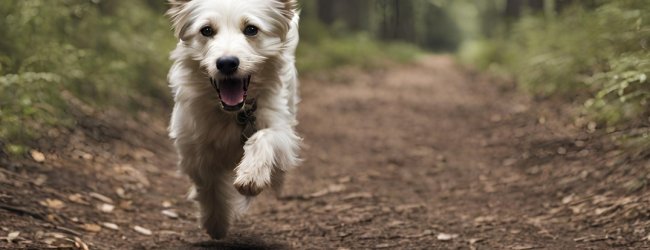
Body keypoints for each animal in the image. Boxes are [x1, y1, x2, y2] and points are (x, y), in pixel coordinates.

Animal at [166, 0, 300, 238]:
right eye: (206, 30)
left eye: (251, 29)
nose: (227, 63)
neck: (235, 114)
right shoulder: (193, 145)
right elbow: (208, 184)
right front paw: (216, 222)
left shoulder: (282, 132)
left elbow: (264, 136)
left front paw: (251, 175)